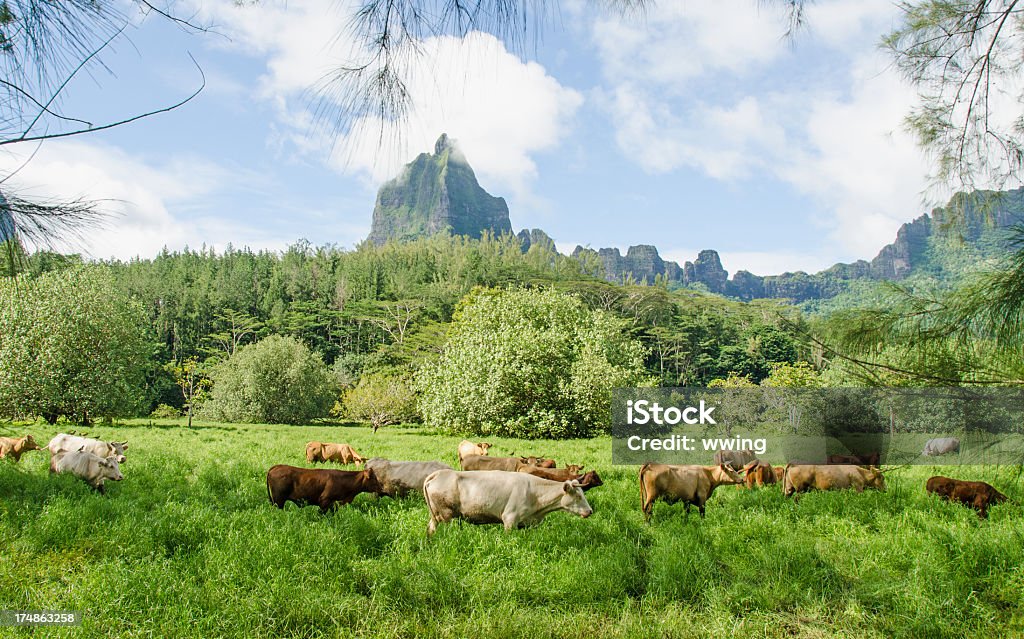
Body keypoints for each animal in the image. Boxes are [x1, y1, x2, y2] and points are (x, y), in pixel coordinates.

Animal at [419, 469, 593, 532]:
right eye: (578, 496)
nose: (590, 511)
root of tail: (439, 473)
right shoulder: (510, 520)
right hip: (446, 515)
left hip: (436, 516)